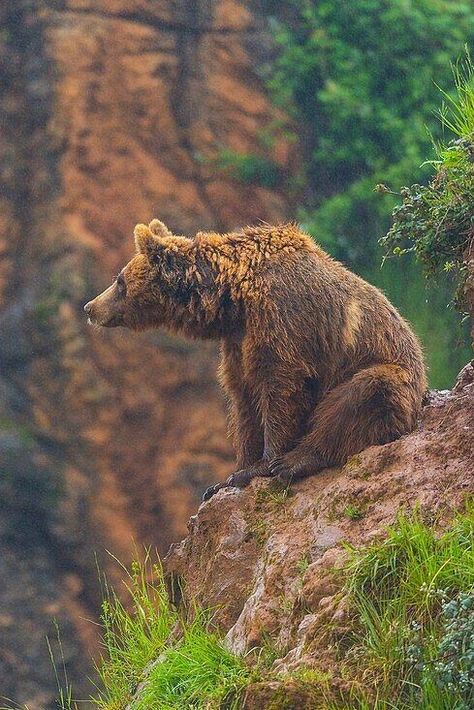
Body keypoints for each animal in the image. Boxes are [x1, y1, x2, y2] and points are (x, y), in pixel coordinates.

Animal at [84, 220, 426, 504]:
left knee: (365, 393)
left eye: (119, 281)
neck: (234, 294)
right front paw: (229, 476)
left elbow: (281, 386)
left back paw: (298, 460)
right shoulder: (238, 339)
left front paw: (264, 464)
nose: (90, 307)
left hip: (388, 370)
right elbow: (244, 399)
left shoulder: (282, 318)